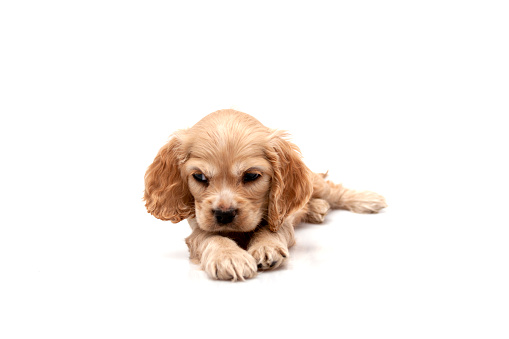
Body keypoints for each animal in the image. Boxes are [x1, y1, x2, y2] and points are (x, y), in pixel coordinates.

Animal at [143, 109, 384, 282]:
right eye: (200, 177)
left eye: (251, 176)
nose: (224, 215)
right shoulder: (198, 223)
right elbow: (210, 236)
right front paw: (229, 257)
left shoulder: (281, 216)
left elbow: (271, 228)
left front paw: (266, 248)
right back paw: (317, 208)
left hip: (315, 183)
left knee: (332, 190)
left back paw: (366, 200)